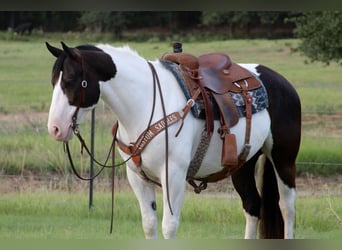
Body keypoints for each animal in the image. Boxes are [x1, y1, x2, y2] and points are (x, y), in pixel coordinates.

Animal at [46, 42, 302, 239]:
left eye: (70, 80)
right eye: (53, 81)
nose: (55, 128)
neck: (145, 101)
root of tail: (282, 82)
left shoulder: (174, 176)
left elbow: (169, 226)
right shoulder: (137, 177)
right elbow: (149, 225)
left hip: (283, 159)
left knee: (287, 207)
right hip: (243, 164)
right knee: (252, 206)